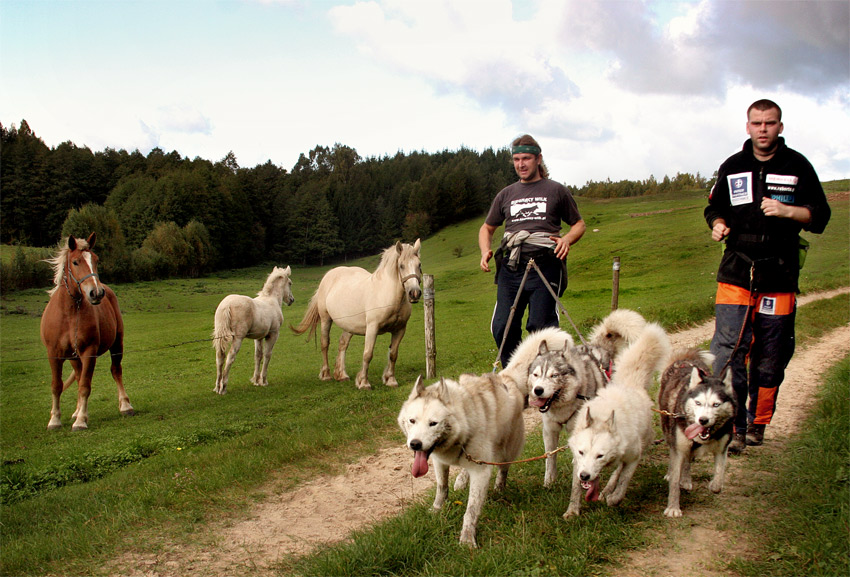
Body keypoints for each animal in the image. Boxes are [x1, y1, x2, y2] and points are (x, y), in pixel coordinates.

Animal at [41, 233, 132, 428]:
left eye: (96, 260)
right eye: (75, 262)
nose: (96, 292)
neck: (68, 314)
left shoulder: (89, 351)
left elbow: (85, 385)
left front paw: (81, 421)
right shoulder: (53, 353)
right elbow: (56, 385)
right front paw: (55, 420)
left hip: (117, 344)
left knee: (116, 371)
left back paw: (125, 406)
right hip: (74, 358)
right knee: (77, 375)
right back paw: (76, 411)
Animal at [210, 266, 294, 394]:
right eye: (290, 283)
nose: (291, 300)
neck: (272, 299)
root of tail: (227, 305)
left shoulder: (258, 337)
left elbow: (258, 356)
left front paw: (256, 380)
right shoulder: (273, 335)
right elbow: (267, 355)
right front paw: (263, 381)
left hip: (221, 337)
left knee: (219, 358)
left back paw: (217, 387)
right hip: (238, 338)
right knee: (230, 357)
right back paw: (223, 387)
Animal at [292, 236, 420, 390]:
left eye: (419, 265)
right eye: (401, 266)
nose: (414, 293)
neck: (387, 294)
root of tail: (329, 275)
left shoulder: (400, 329)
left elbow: (393, 354)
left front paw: (391, 380)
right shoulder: (372, 328)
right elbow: (367, 354)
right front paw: (364, 382)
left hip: (349, 325)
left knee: (343, 343)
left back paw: (342, 375)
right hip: (325, 319)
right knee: (325, 344)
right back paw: (326, 375)